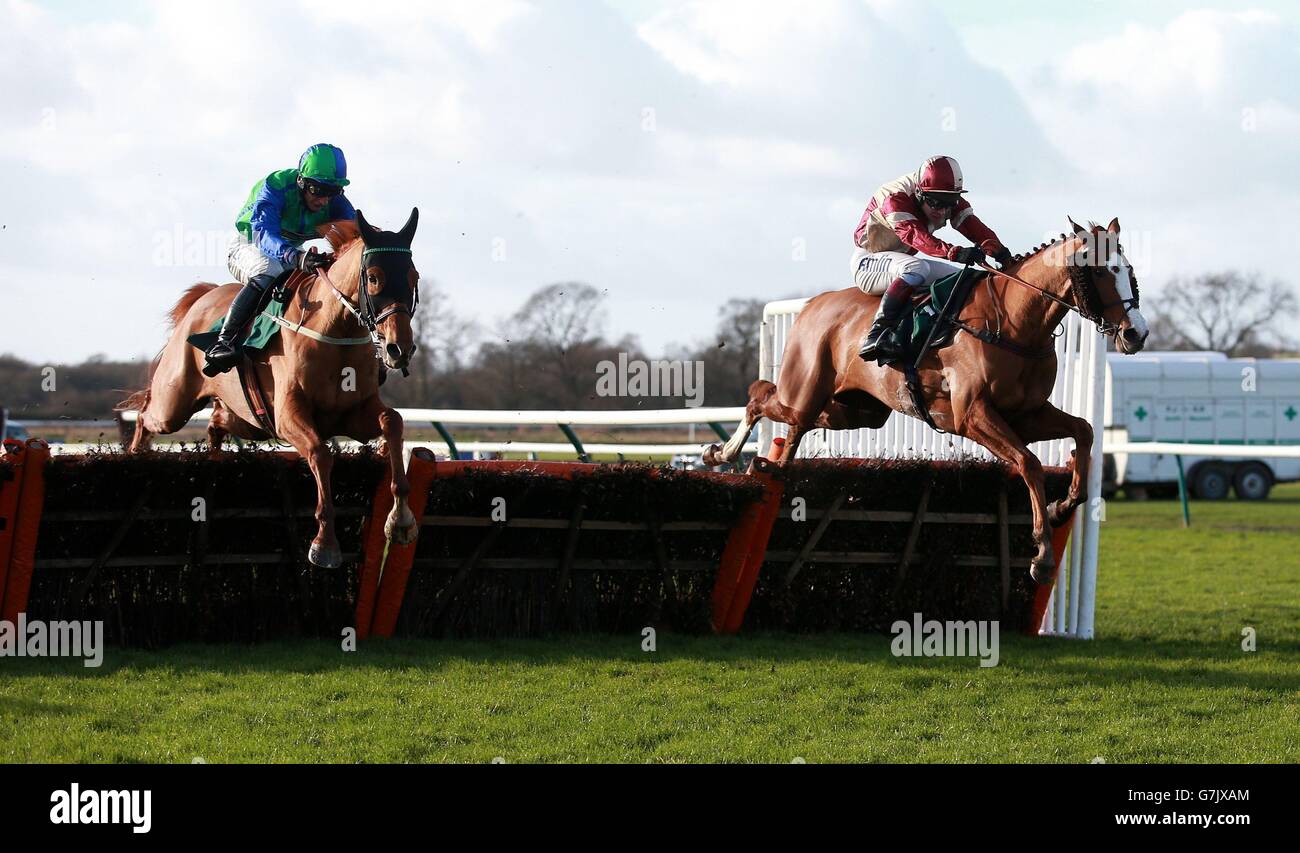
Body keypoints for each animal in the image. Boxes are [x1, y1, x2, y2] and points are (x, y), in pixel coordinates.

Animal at [122, 208, 421, 566]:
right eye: (374, 277)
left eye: (414, 278)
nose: (399, 349)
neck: (335, 332)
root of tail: (202, 298)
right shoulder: (288, 416)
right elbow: (320, 453)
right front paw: (325, 544)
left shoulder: (353, 413)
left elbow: (393, 422)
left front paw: (401, 521)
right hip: (174, 402)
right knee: (144, 415)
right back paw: (135, 457)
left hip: (248, 420)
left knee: (216, 422)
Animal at [712, 217, 1149, 582]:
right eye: (1102, 271)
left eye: (1128, 270)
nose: (1136, 333)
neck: (1011, 323)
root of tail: (810, 305)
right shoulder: (972, 415)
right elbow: (1029, 463)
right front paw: (1041, 553)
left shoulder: (1027, 415)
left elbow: (1084, 431)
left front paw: (1065, 504)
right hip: (803, 391)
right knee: (760, 397)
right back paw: (723, 453)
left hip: (853, 411)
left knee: (795, 425)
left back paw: (775, 466)